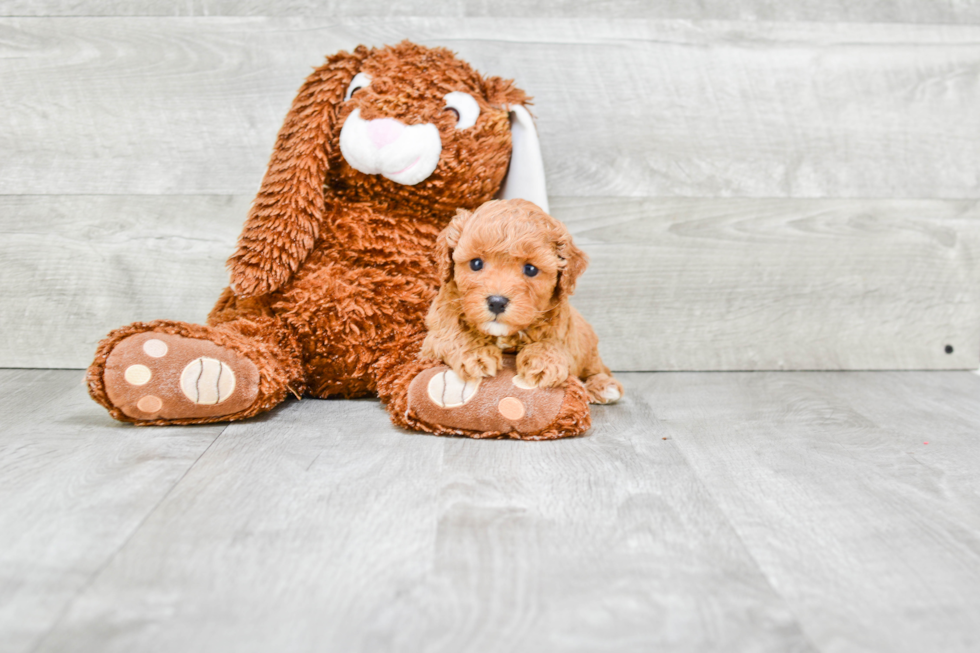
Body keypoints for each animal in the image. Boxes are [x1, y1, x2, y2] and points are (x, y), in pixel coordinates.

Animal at [420, 197, 620, 402]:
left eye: (530, 269)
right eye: (476, 263)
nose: (497, 302)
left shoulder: (565, 334)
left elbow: (553, 344)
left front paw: (542, 362)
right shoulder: (435, 332)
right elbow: (453, 334)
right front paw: (475, 353)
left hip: (590, 351)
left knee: (599, 369)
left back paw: (604, 386)